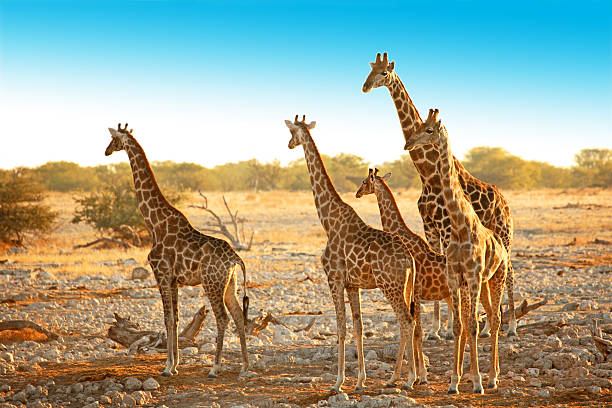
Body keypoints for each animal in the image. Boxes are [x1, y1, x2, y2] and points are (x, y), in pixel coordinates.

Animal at [104, 122, 249, 378]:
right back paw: (244, 365)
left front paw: (167, 367)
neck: (155, 224)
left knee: (222, 318)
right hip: (229, 284)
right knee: (239, 316)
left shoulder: (161, 273)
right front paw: (175, 364)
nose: (106, 151)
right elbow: (176, 318)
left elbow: (167, 318)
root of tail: (235, 258)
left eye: (113, 139)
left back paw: (215, 367)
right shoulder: (173, 279)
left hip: (211, 282)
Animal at [284, 115, 418, 392]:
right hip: (405, 287)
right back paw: (401, 377)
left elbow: (341, 328)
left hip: (390, 286)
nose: (289, 144)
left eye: (291, 132)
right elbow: (358, 327)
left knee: (407, 321)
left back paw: (410, 379)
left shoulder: (333, 279)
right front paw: (360, 381)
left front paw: (338, 382)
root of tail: (409, 259)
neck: (328, 220)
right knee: (407, 321)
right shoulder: (352, 284)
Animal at [364, 51, 516, 338]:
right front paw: (437, 329)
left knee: (510, 271)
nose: (365, 87)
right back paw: (488, 325)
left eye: (384, 73)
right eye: (369, 69)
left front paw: (449, 328)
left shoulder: (446, 228)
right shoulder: (431, 229)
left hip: (504, 232)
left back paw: (510, 325)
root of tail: (504, 201)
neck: (427, 174)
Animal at [412, 110, 506, 394]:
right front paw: (453, 381)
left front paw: (476, 382)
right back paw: (487, 375)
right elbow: (458, 325)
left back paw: (492, 377)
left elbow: (473, 326)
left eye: (430, 130)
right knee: (486, 317)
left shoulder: (473, 276)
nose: (408, 143)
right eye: (420, 126)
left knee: (496, 318)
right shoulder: (455, 276)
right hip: (483, 284)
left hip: (495, 278)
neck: (460, 223)